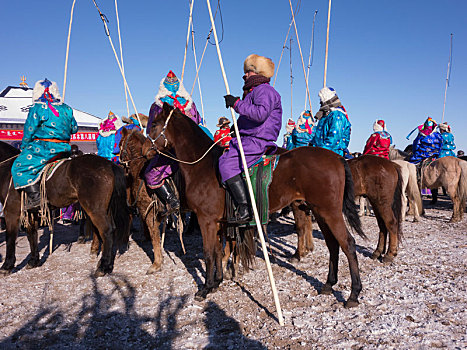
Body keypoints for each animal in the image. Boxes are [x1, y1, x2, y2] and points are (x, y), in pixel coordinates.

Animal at [0, 142, 130, 276]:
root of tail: (109, 164)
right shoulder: (31, 212)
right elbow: (32, 234)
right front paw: (33, 261)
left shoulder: (11, 211)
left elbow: (10, 237)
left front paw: (7, 265)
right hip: (104, 209)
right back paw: (103, 262)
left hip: (95, 210)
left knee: (107, 231)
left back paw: (103, 267)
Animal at [142, 102, 366, 308]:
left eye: (153, 124)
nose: (144, 151)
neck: (203, 166)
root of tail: (336, 157)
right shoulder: (218, 222)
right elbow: (217, 251)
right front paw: (216, 282)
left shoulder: (206, 220)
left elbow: (208, 253)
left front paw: (206, 288)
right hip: (319, 211)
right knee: (333, 244)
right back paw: (328, 284)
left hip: (330, 212)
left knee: (348, 244)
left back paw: (353, 294)